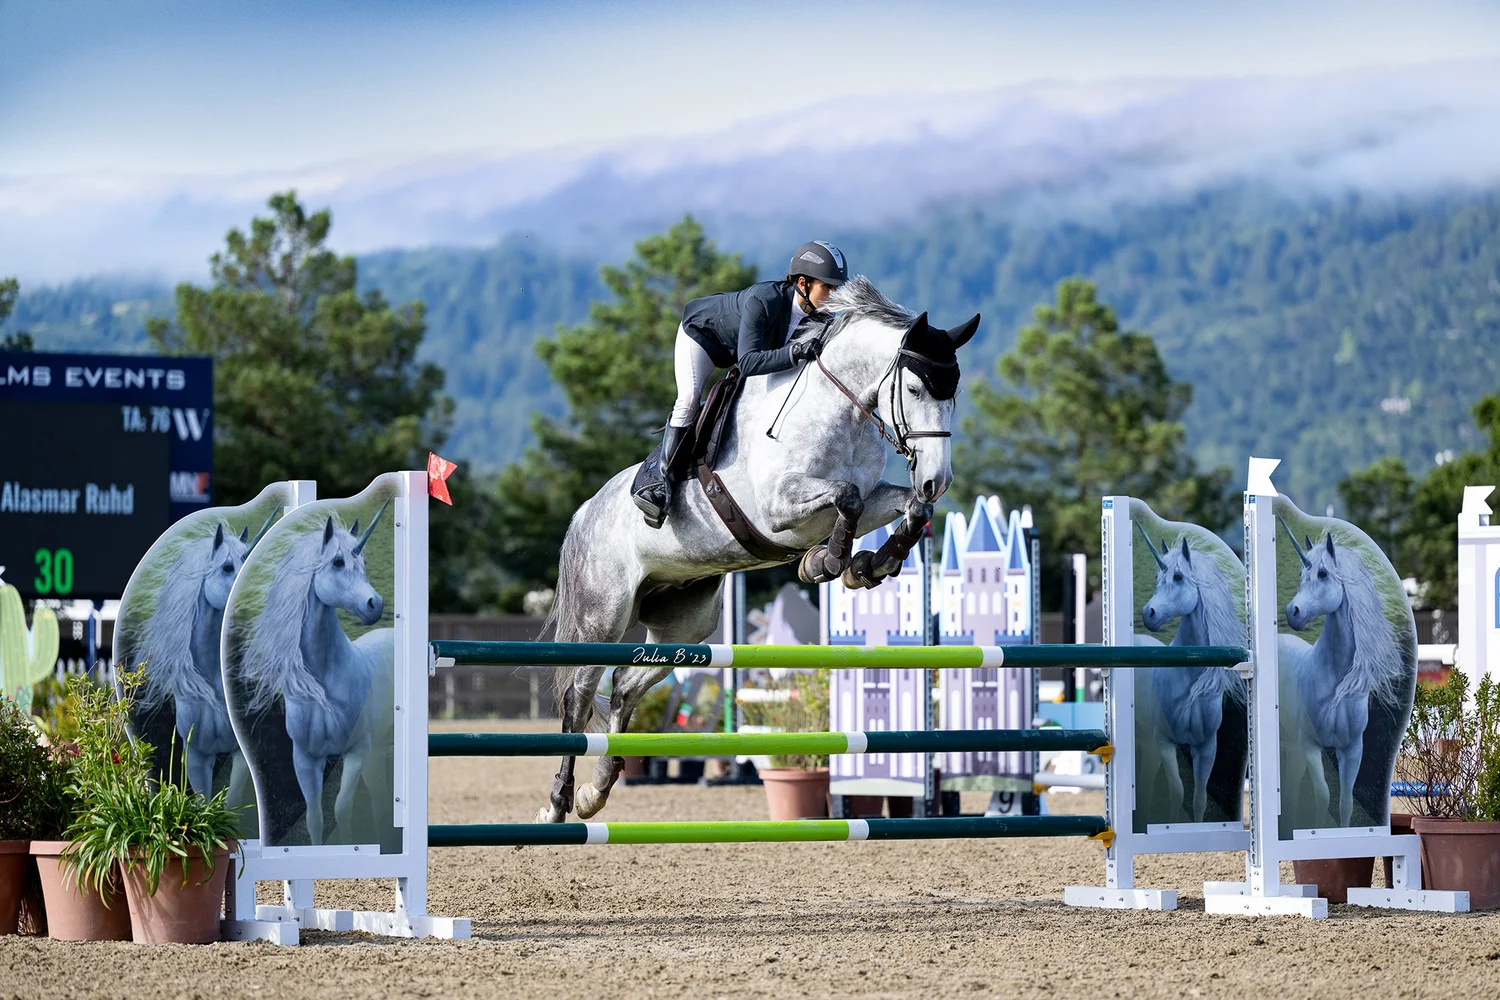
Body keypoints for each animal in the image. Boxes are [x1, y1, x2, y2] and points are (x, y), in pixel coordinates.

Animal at [241, 501, 394, 845]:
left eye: (363, 562)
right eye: (337, 561)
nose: (375, 604)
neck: (325, 685)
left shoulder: (355, 752)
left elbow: (341, 809)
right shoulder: (306, 758)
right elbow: (314, 817)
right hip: (378, 752)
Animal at [537, 277, 978, 823]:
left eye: (953, 394)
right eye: (915, 389)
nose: (939, 479)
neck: (837, 411)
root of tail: (584, 514)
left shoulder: (871, 497)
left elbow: (908, 507)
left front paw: (871, 565)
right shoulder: (777, 507)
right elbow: (846, 499)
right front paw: (826, 562)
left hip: (686, 627)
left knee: (623, 685)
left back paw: (596, 790)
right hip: (602, 616)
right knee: (579, 695)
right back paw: (559, 802)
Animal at [1136, 524, 1246, 822]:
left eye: (1177, 576)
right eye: (1157, 577)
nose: (1148, 613)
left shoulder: (1205, 746)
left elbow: (1199, 797)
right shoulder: (1166, 743)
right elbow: (1177, 792)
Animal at [1277, 520, 1405, 828]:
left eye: (1323, 573)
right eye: (1302, 574)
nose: (1292, 612)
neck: (1335, 685)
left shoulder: (1352, 749)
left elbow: (1345, 802)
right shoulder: (1312, 746)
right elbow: (1323, 797)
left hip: (1293, 749)